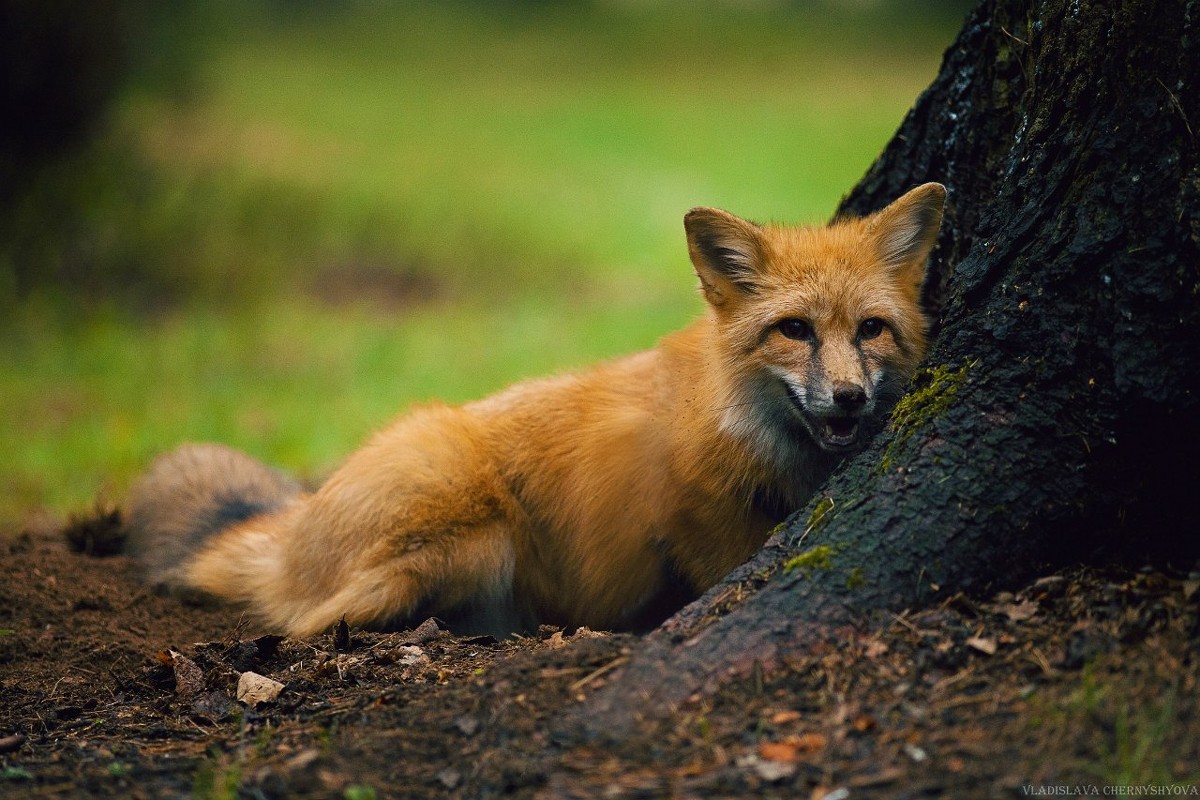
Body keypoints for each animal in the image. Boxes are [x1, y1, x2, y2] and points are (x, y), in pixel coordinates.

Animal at [124, 181, 945, 638]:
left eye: (871, 329)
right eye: (795, 330)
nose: (848, 396)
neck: (745, 424)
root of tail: (296, 532)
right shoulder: (686, 511)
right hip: (470, 532)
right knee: (306, 624)